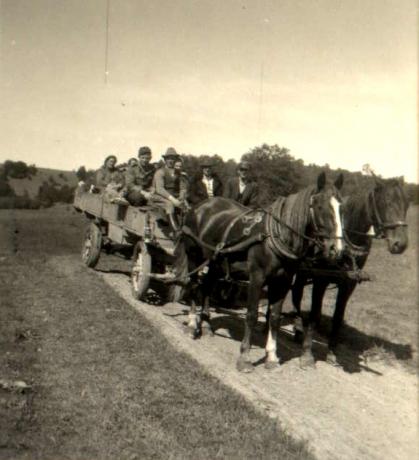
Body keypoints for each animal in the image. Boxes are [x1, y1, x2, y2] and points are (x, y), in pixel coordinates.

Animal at [183, 171, 344, 372]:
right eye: (320, 206)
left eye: (340, 207)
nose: (336, 249)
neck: (275, 236)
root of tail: (201, 205)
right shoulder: (257, 278)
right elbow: (251, 315)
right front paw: (244, 357)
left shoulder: (282, 283)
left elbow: (274, 318)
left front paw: (272, 356)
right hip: (193, 256)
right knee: (193, 285)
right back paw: (191, 324)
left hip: (215, 263)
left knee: (206, 287)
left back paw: (205, 325)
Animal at [292, 174, 410, 368]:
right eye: (386, 202)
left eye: (407, 204)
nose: (400, 244)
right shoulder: (320, 279)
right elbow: (316, 314)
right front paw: (307, 353)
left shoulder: (349, 284)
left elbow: (338, 316)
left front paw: (332, 353)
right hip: (302, 271)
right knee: (296, 294)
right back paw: (297, 326)